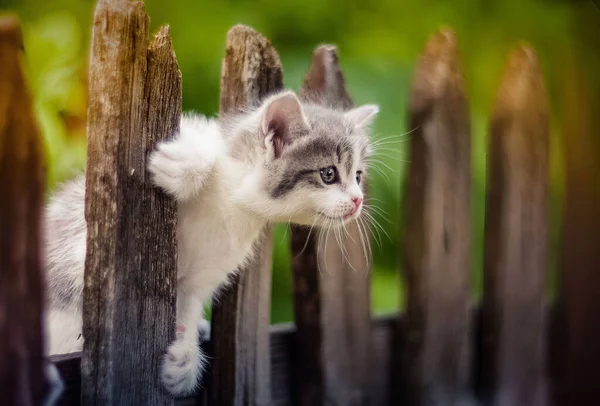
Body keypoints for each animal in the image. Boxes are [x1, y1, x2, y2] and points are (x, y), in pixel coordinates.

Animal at [44, 89, 378, 396]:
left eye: (357, 176)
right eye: (328, 174)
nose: (357, 200)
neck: (232, 208)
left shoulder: (205, 274)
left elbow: (188, 304)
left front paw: (185, 357)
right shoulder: (81, 237)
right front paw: (184, 164)